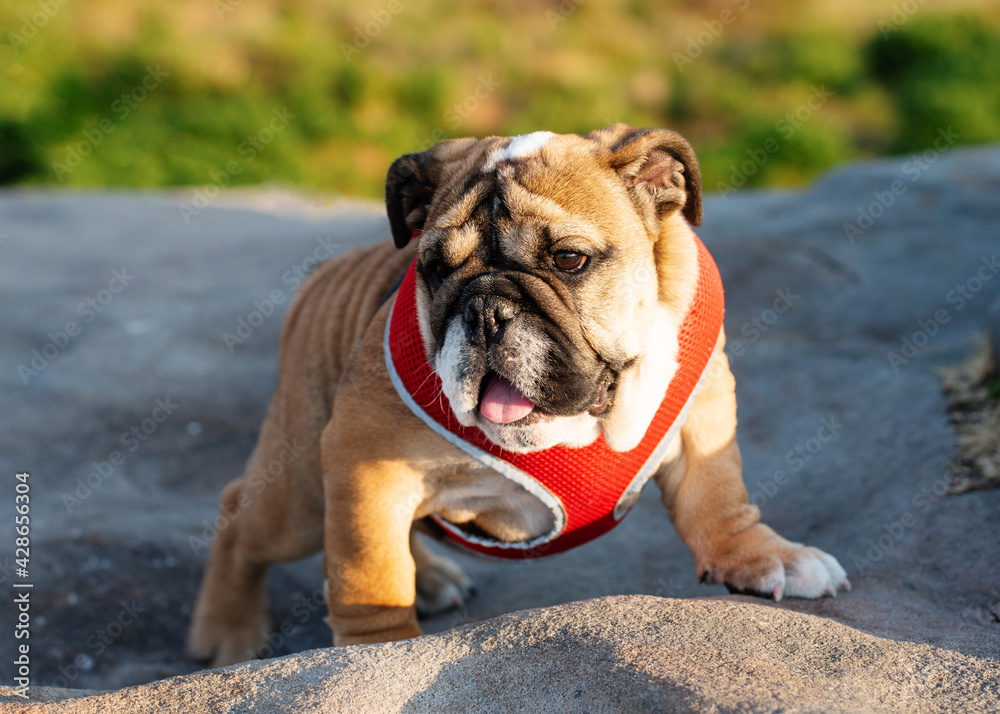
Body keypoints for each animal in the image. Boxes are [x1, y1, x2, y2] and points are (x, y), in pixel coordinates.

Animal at [186, 125, 844, 664]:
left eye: (570, 259)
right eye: (433, 270)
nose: (485, 310)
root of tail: (322, 276)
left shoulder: (705, 404)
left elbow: (717, 493)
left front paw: (758, 555)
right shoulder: (363, 455)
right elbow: (369, 571)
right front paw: (376, 652)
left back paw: (428, 578)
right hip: (301, 492)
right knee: (241, 513)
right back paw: (227, 633)